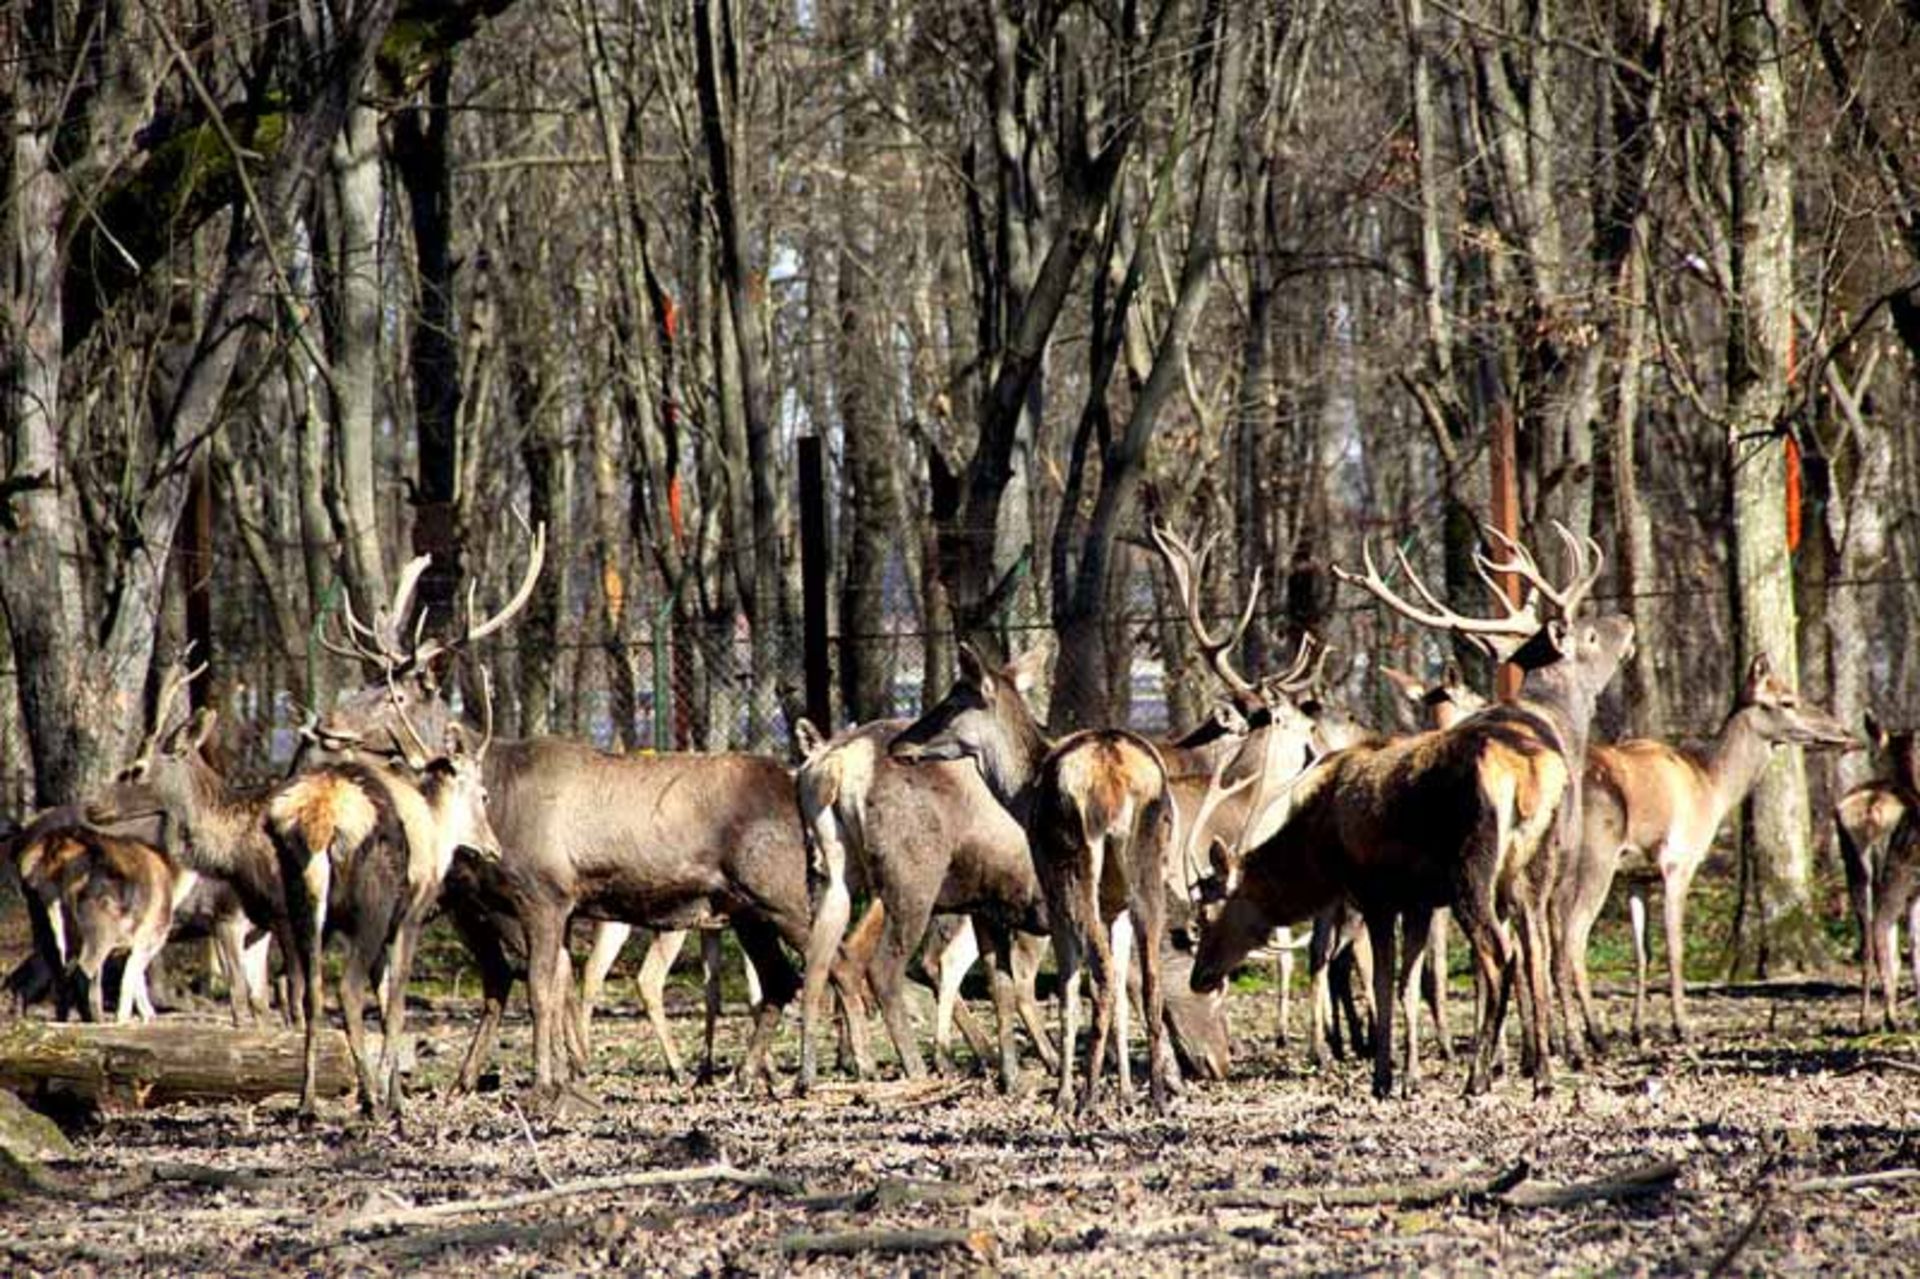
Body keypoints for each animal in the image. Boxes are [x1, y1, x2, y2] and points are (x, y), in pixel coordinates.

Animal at [887, 641, 1182, 1113]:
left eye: (951, 702)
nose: (899, 744)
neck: (1021, 795)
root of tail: (1116, 769)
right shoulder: (1114, 905)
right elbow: (1123, 985)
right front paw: (1125, 1094)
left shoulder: (1052, 890)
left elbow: (1068, 988)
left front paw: (1066, 1094)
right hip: (1148, 862)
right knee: (1148, 977)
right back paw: (1155, 1094)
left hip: (1073, 862)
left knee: (1099, 978)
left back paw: (1085, 1097)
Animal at [1190, 526, 1628, 1098]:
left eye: (1210, 911)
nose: (1199, 976)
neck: (1318, 843)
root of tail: (1533, 771)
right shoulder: (1417, 899)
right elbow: (1407, 980)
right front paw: (1411, 1074)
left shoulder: (1375, 892)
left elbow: (1385, 979)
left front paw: (1385, 1076)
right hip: (1530, 867)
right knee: (1527, 953)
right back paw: (1538, 1076)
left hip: (1472, 868)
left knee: (1499, 956)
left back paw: (1476, 1077)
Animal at [1559, 652, 1858, 1052]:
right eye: (1786, 701)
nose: (1843, 731)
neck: (1713, 787)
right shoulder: (1679, 861)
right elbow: (1675, 947)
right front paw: (1682, 1027)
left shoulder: (1637, 875)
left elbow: (1643, 952)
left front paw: (1638, 1030)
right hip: (1595, 858)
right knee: (1572, 937)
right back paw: (1591, 1035)